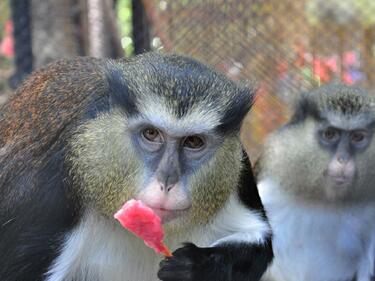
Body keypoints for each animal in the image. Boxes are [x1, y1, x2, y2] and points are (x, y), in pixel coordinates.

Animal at [0, 52, 274, 280]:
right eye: (151, 134)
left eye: (193, 141)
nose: (167, 181)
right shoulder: (50, 196)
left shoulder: (239, 170)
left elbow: (262, 241)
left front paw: (195, 266)